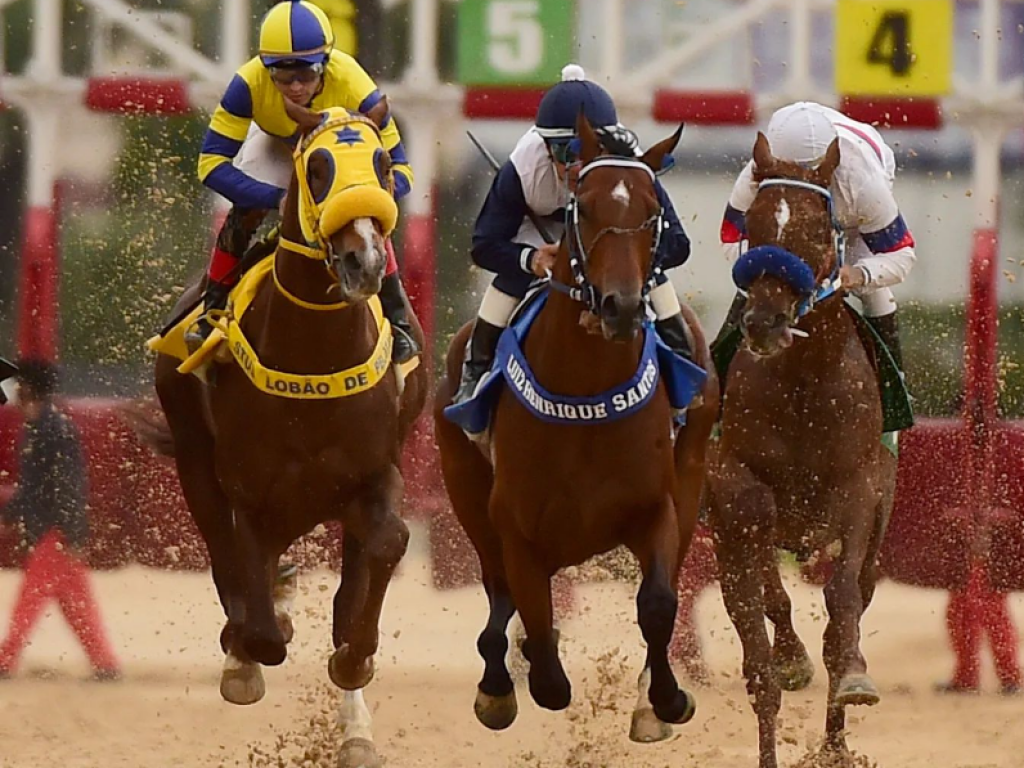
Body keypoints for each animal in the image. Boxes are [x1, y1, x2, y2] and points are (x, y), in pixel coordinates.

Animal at [137, 107, 423, 768]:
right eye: (316, 168)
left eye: (379, 163)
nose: (364, 262)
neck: (313, 353)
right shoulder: (250, 493)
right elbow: (260, 622)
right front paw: (250, 653)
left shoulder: (375, 475)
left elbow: (385, 550)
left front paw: (353, 662)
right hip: (194, 458)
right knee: (227, 563)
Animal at [434, 115, 720, 745]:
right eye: (582, 209)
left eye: (653, 211)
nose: (621, 306)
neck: (586, 396)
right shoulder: (514, 526)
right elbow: (540, 645)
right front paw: (512, 683)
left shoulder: (657, 507)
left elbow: (658, 603)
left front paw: (664, 700)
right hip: (465, 489)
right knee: (499, 593)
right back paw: (497, 685)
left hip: (691, 475)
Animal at [712, 134, 897, 768]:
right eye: (756, 225)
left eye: (818, 230)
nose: (765, 322)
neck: (803, 387)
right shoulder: (734, 493)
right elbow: (761, 645)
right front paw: (787, 663)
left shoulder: (860, 490)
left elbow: (842, 605)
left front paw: (854, 683)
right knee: (768, 615)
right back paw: (790, 660)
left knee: (855, 594)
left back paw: (836, 738)